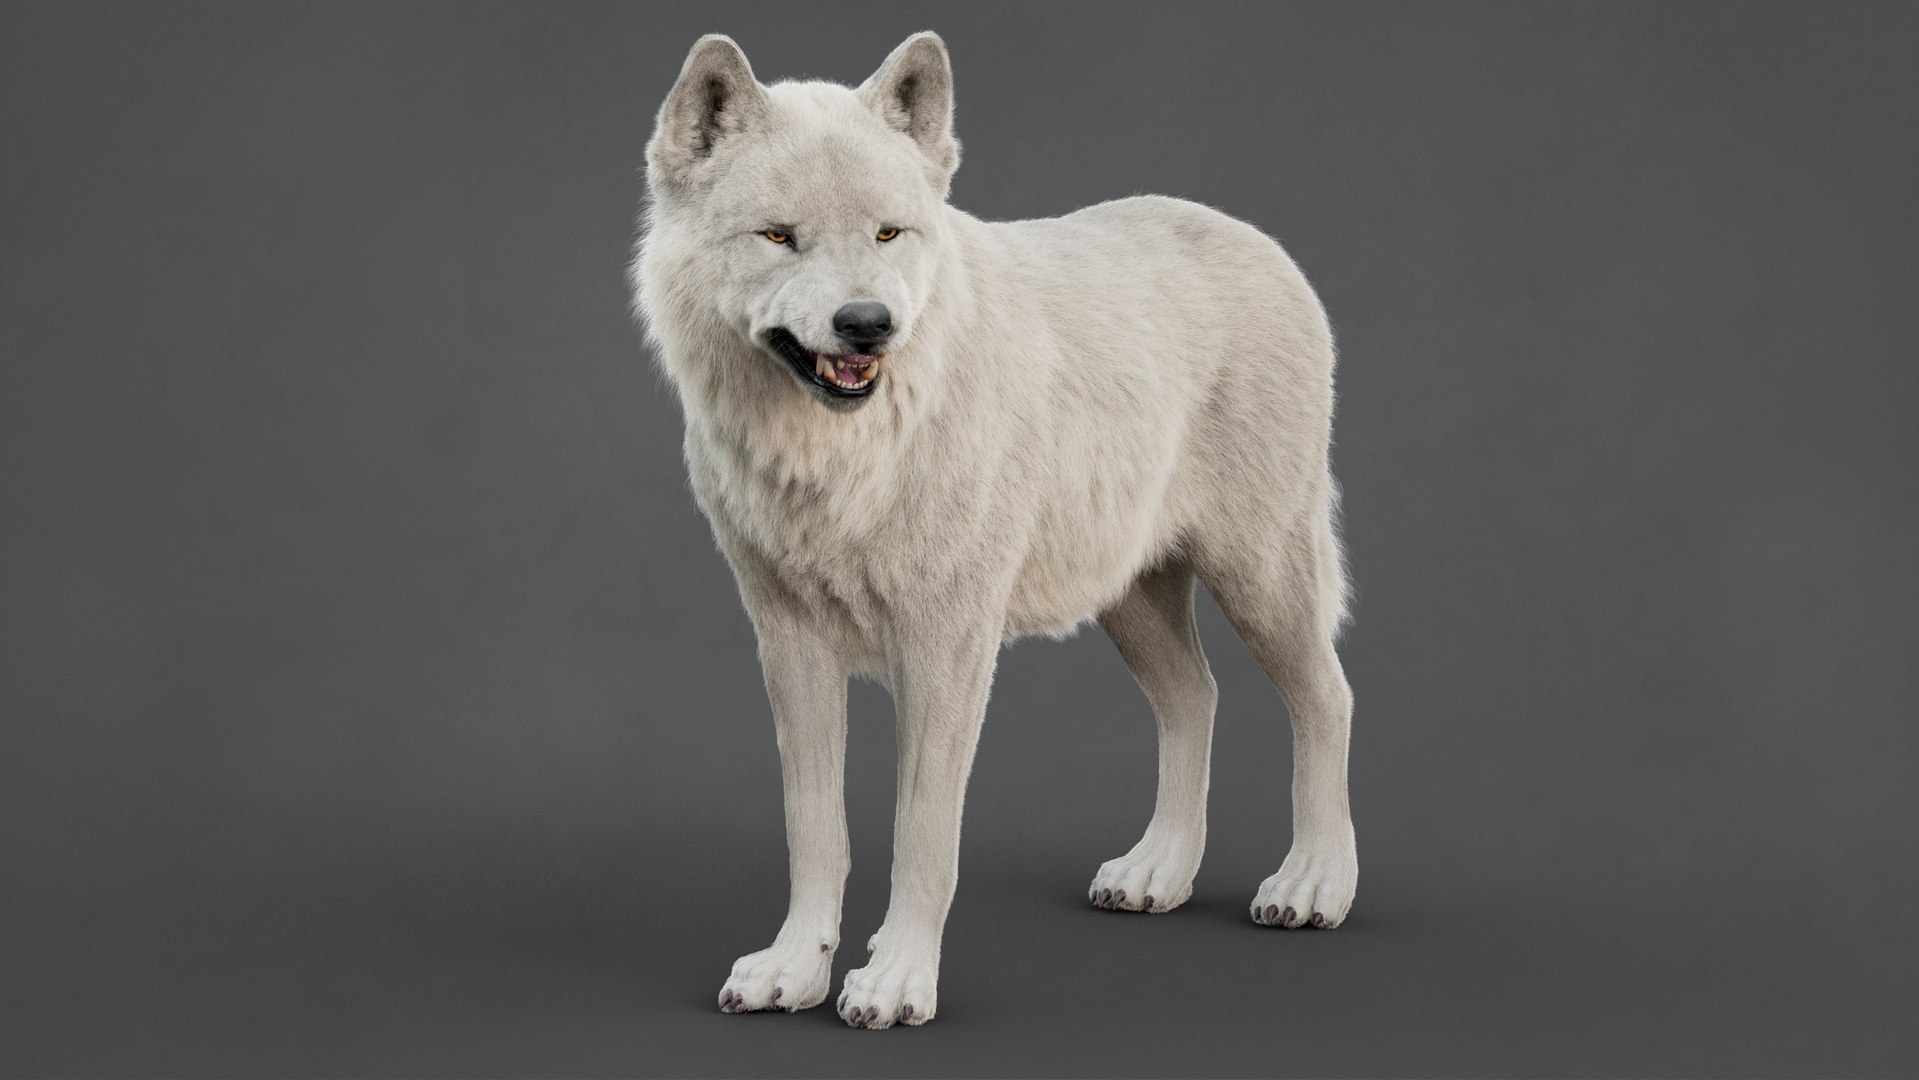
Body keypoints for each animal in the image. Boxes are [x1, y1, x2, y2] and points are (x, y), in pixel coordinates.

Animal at [632, 32, 1358, 1029]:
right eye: (778, 235)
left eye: (888, 234)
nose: (868, 323)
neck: (848, 457)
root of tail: (1261, 242)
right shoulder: (789, 643)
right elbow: (815, 828)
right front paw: (792, 971)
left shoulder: (946, 645)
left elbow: (922, 833)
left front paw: (896, 981)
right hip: (1131, 600)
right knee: (1196, 697)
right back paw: (1156, 873)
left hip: (1258, 575)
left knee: (1327, 699)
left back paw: (1314, 883)